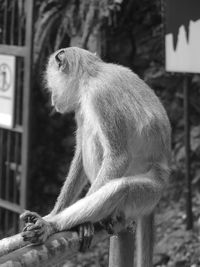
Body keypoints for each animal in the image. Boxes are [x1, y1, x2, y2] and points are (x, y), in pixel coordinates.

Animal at [19, 47, 170, 266]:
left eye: (50, 83)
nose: (53, 99)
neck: (92, 74)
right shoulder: (82, 106)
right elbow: (80, 155)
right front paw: (56, 211)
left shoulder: (100, 96)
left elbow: (118, 157)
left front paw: (64, 221)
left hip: (150, 194)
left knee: (121, 187)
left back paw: (51, 225)